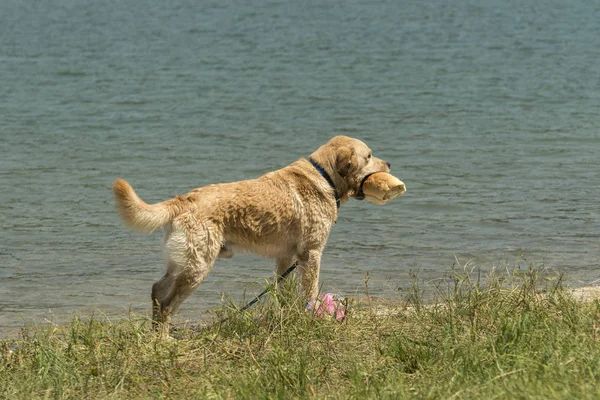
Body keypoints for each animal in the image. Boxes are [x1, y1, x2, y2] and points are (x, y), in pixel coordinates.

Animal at [113, 135, 392, 332]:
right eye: (369, 155)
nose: (389, 163)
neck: (325, 177)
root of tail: (185, 199)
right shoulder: (312, 253)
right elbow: (310, 292)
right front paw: (313, 315)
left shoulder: (286, 257)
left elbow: (282, 292)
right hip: (197, 267)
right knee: (168, 304)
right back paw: (164, 339)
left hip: (181, 262)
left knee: (157, 290)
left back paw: (154, 334)